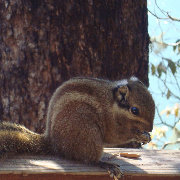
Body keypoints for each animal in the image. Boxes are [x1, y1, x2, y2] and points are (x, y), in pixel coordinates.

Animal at [0, 76, 155, 164]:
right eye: (134, 110)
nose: (151, 128)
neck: (112, 104)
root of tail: (52, 142)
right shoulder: (111, 124)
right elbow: (116, 136)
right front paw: (138, 134)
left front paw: (146, 135)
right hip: (86, 132)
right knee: (88, 159)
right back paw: (105, 165)